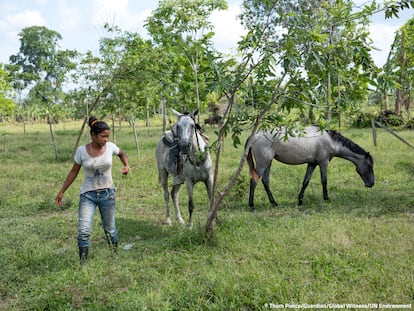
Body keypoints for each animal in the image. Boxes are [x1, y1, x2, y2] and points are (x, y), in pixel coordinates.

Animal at [246, 125, 376, 211]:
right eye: (370, 166)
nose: (371, 184)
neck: (331, 140)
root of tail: (255, 136)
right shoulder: (323, 163)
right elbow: (324, 181)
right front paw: (327, 199)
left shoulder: (312, 164)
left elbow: (305, 182)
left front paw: (300, 200)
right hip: (263, 163)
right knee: (254, 181)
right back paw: (252, 205)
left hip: (268, 163)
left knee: (265, 181)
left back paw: (274, 203)